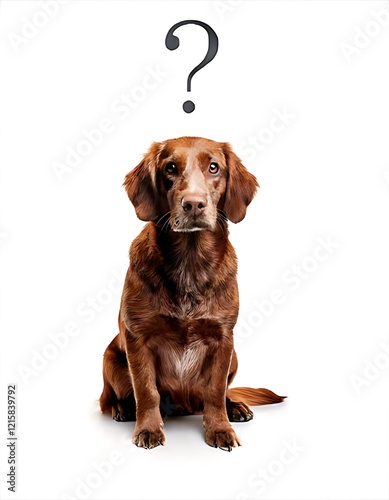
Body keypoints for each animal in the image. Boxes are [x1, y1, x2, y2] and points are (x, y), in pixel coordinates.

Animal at [98, 136, 284, 450]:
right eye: (170, 168)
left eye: (214, 167)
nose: (194, 204)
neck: (190, 262)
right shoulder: (138, 337)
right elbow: (146, 390)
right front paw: (148, 428)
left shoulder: (223, 339)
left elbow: (215, 391)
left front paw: (220, 427)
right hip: (110, 357)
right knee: (111, 398)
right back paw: (123, 409)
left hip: (235, 356)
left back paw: (235, 406)